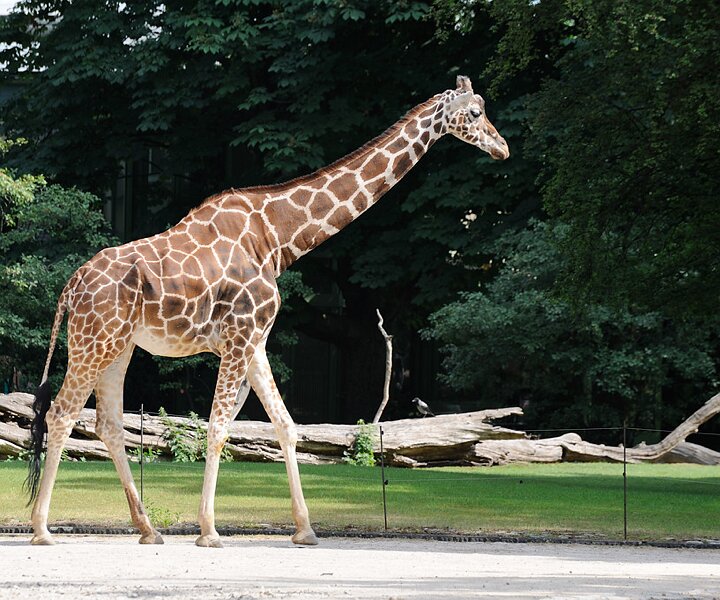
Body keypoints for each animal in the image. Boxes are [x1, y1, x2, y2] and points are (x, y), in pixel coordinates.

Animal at [25, 75, 508, 547]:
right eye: (475, 112)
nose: (501, 147)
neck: (276, 237)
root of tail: (71, 286)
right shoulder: (240, 337)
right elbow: (218, 427)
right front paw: (209, 531)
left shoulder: (255, 342)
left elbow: (285, 424)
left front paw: (305, 529)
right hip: (93, 342)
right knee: (61, 414)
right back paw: (42, 529)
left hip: (118, 345)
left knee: (107, 423)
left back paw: (148, 529)